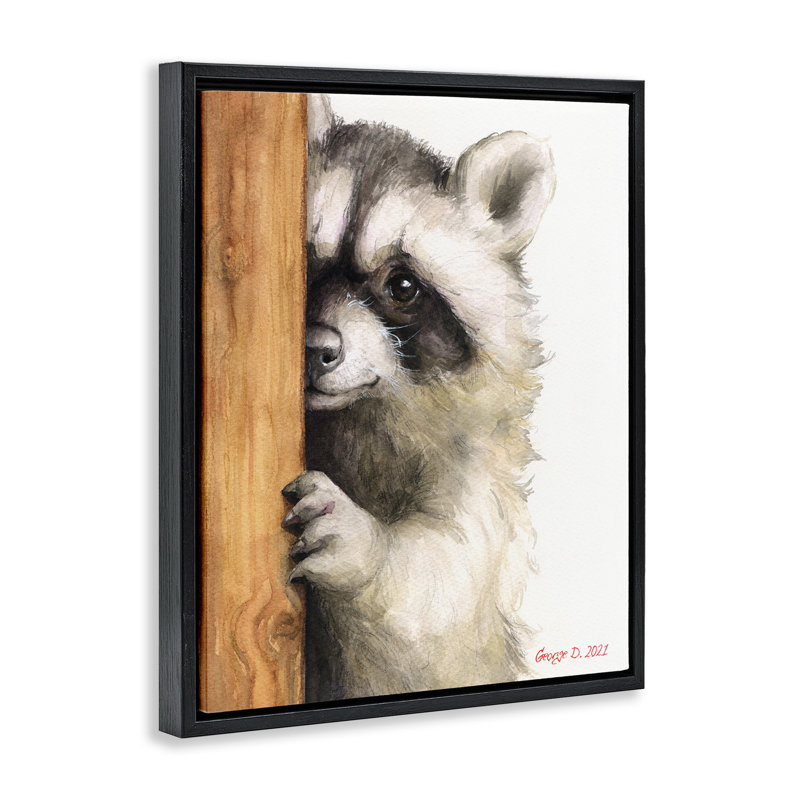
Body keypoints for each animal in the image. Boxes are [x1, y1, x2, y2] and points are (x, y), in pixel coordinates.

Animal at [281, 95, 556, 702]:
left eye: (403, 287)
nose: (315, 351)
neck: (354, 419)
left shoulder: (480, 474)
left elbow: (444, 596)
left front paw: (366, 549)